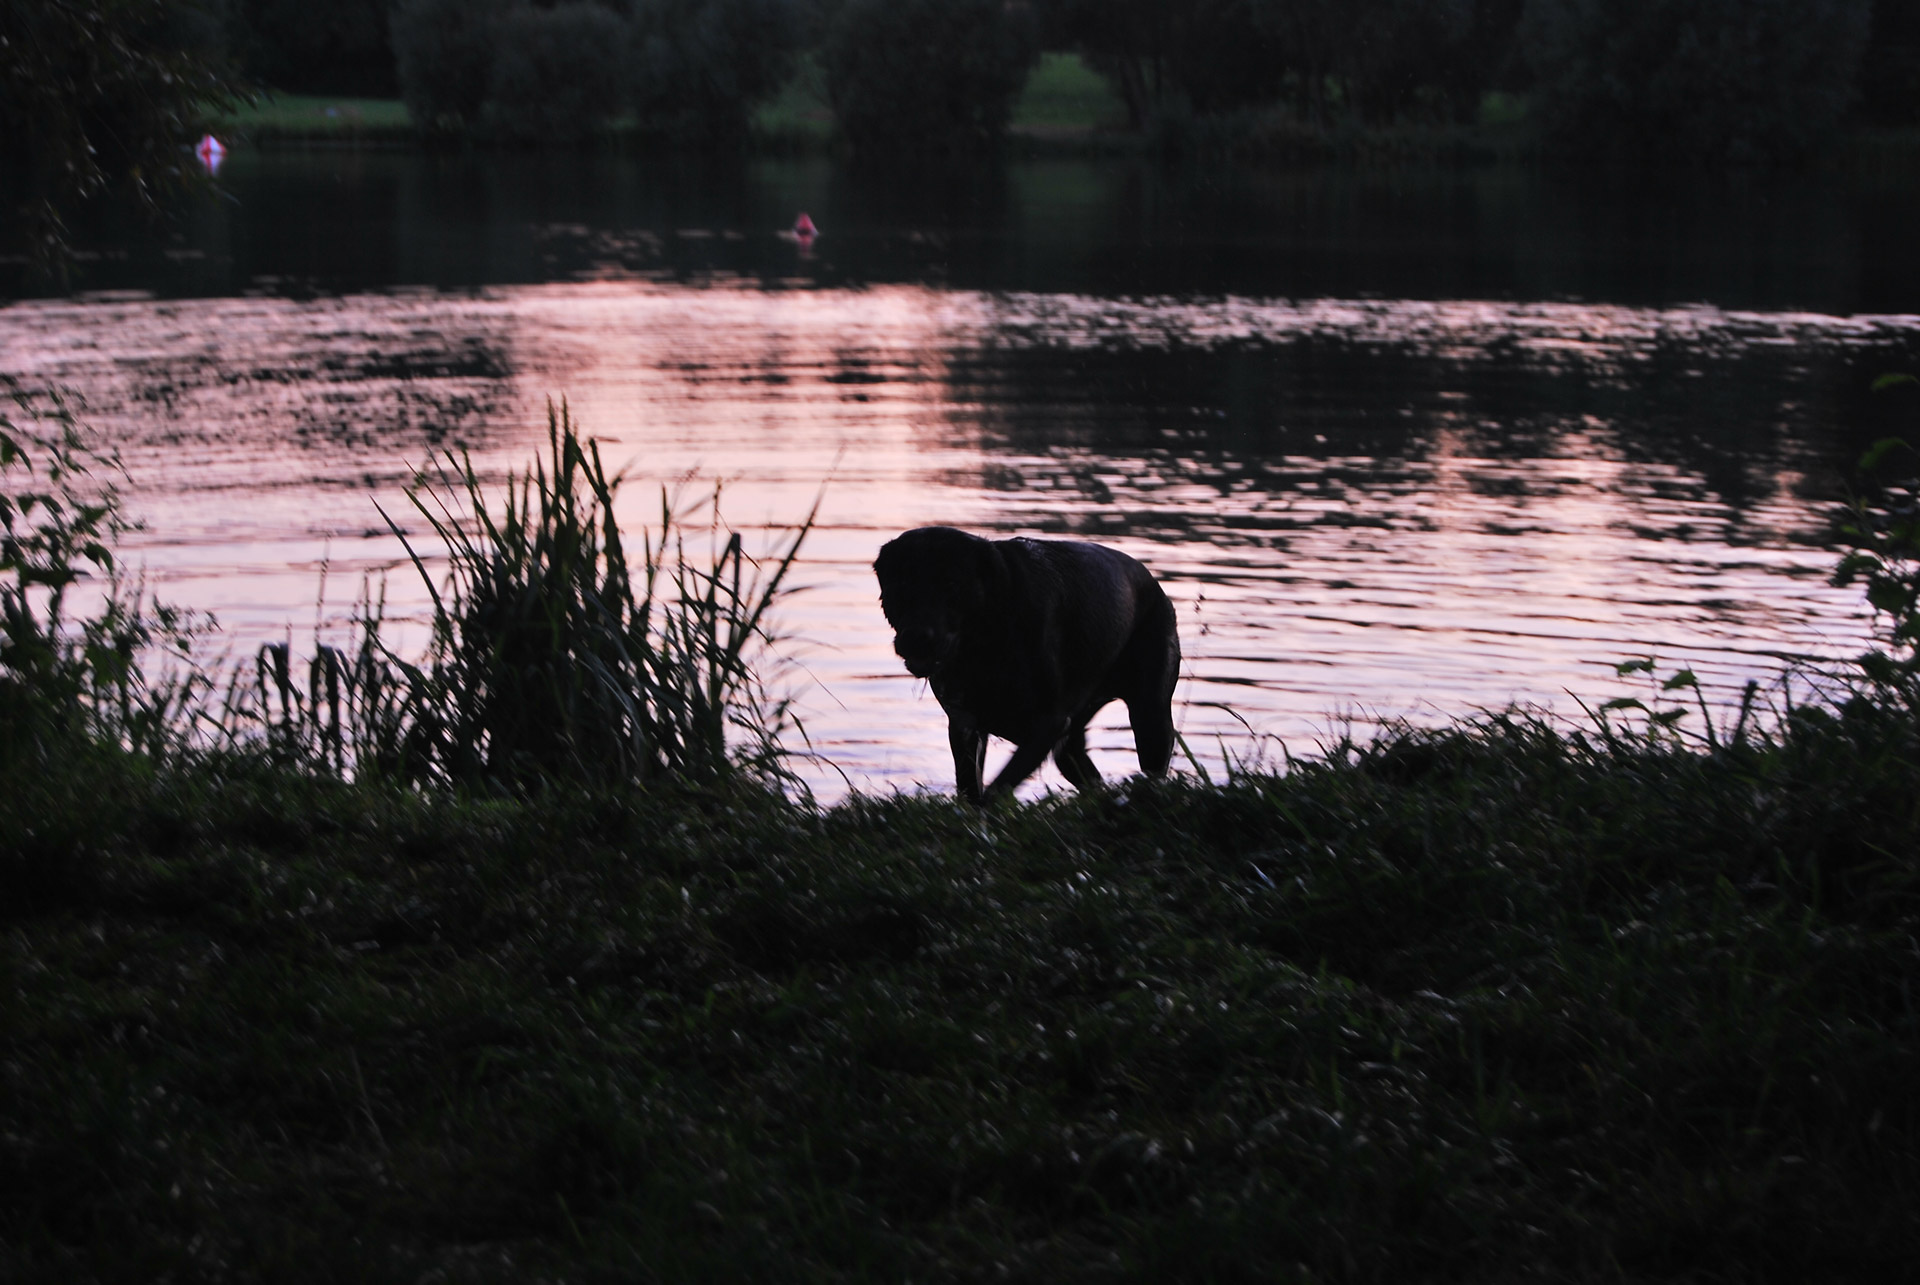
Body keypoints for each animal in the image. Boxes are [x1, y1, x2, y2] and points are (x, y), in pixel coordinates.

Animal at [879, 526, 1175, 795]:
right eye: (900, 587)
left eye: (952, 585)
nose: (915, 637)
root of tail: (1155, 585)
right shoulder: (964, 725)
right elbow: (970, 789)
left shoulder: (1046, 725)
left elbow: (997, 789)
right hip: (1070, 748)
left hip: (1151, 717)